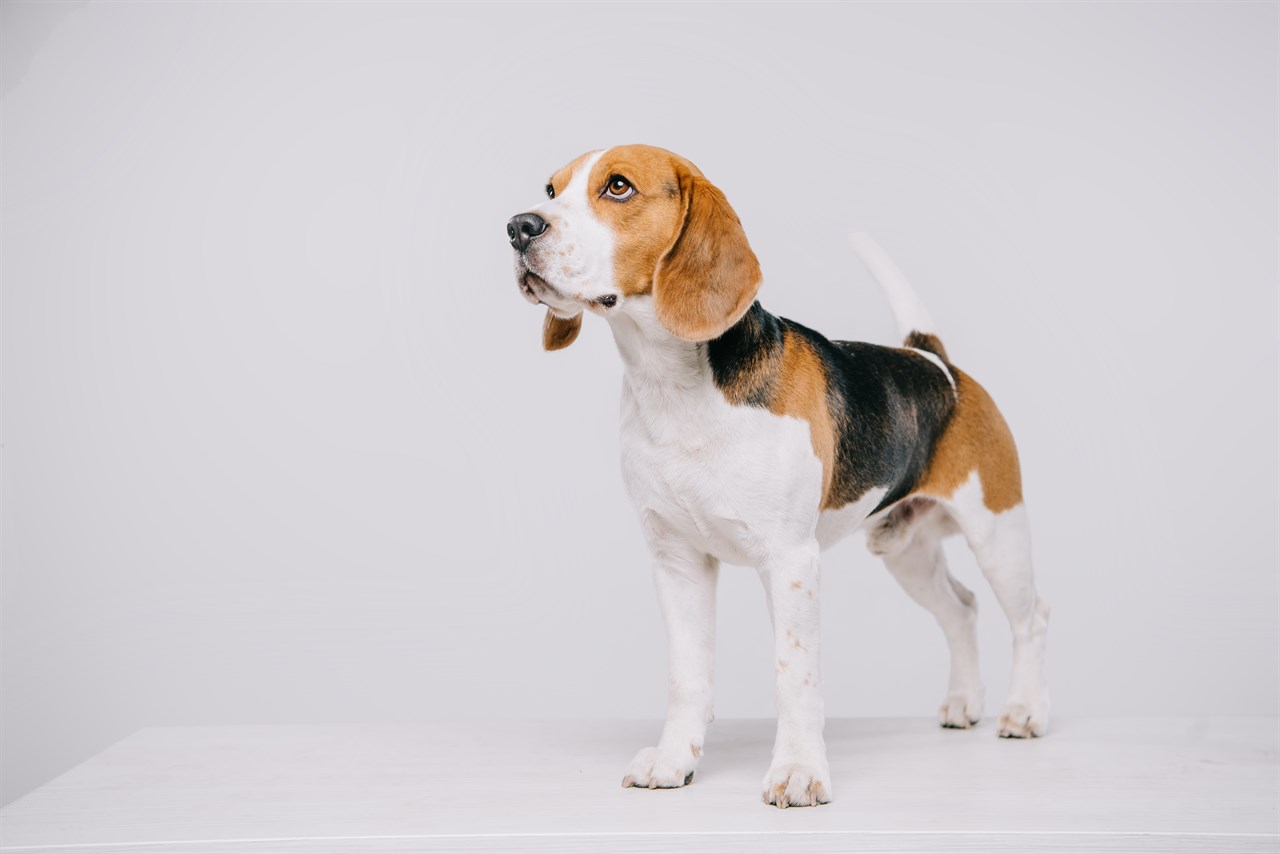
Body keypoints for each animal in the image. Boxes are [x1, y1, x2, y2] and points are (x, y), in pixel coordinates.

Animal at [506, 145, 1049, 809]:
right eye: (550, 189)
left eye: (617, 187)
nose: (519, 227)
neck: (674, 388)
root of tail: (935, 361)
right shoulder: (677, 562)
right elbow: (687, 675)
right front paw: (673, 759)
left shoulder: (791, 561)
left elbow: (795, 676)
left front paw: (796, 771)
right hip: (907, 551)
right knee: (963, 609)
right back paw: (964, 703)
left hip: (999, 535)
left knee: (1030, 619)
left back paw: (1023, 712)